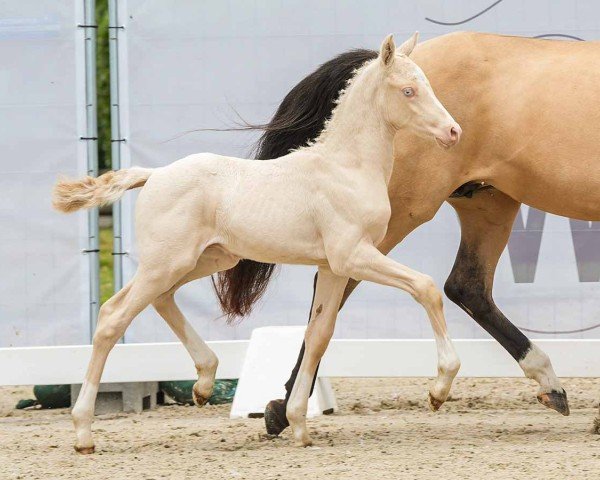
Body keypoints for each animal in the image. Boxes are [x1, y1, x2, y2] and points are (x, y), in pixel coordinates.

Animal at [55, 32, 460, 450]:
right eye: (409, 90)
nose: (453, 132)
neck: (345, 168)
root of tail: (154, 174)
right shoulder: (352, 255)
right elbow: (426, 287)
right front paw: (439, 389)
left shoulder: (332, 266)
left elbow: (319, 335)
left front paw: (298, 423)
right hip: (166, 262)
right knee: (113, 316)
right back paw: (84, 432)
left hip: (206, 260)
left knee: (159, 300)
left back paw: (204, 382)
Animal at [212, 31, 600, 436]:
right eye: (410, 91)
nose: (452, 131)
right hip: (401, 212)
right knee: (340, 291)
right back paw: (285, 408)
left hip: (489, 203)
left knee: (466, 287)